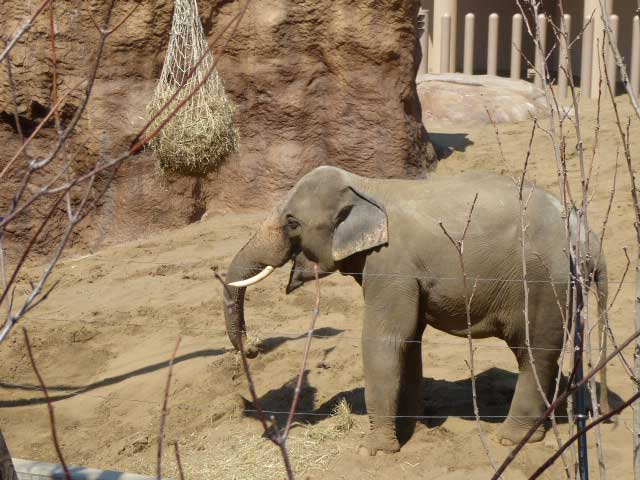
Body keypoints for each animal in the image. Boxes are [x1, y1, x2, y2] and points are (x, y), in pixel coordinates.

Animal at [222, 167, 608, 456]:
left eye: (292, 223)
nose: (253, 349)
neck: (367, 185)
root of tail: (587, 234)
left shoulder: (391, 263)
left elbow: (385, 339)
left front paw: (374, 451)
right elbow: (408, 339)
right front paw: (414, 428)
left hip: (544, 284)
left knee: (535, 352)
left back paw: (511, 438)